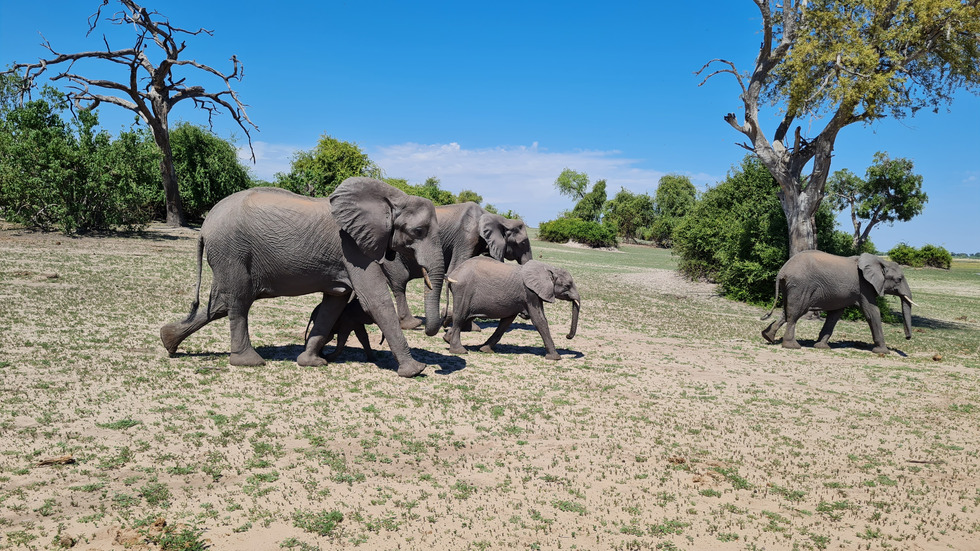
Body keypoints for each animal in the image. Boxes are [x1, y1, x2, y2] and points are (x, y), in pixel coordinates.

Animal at [161, 179, 444, 378]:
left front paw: (311, 362)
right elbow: (375, 301)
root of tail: (203, 227)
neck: (392, 198)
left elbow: (334, 303)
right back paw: (250, 361)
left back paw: (168, 341)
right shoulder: (352, 248)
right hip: (232, 252)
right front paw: (415, 370)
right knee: (238, 303)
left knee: (220, 305)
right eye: (418, 231)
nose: (425, 328)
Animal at [384, 204, 536, 330]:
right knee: (400, 282)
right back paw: (412, 324)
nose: (524, 315)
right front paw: (467, 326)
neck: (496, 217)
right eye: (523, 243)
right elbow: (456, 269)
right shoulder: (467, 237)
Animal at [444, 258, 580, 362]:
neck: (548, 268)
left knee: (465, 317)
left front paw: (485, 350)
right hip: (463, 290)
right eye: (567, 286)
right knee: (460, 318)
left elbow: (506, 322)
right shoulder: (530, 293)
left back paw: (447, 339)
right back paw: (459, 351)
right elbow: (539, 320)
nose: (567, 336)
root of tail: (453, 274)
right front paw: (555, 358)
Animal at [760, 250, 916, 354]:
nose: (908, 337)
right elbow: (872, 312)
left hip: (790, 287)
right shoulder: (864, 287)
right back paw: (792, 346)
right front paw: (883, 352)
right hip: (800, 285)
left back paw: (768, 337)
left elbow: (835, 315)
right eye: (899, 279)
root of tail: (782, 271)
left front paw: (821, 347)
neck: (880, 261)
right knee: (796, 312)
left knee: (787, 311)